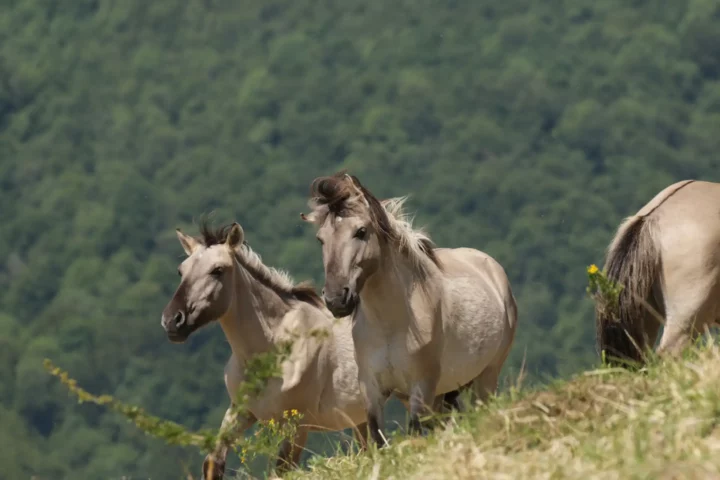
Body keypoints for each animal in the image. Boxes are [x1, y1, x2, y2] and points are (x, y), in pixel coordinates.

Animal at [160, 220, 370, 479]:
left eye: (217, 270)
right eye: (181, 271)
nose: (172, 321)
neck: (274, 350)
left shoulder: (297, 425)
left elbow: (282, 470)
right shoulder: (241, 411)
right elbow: (213, 461)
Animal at [300, 172, 518, 446]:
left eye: (361, 231)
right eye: (321, 238)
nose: (336, 299)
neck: (392, 323)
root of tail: (493, 269)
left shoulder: (420, 388)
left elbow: (414, 434)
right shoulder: (371, 389)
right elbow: (379, 440)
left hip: (486, 378)